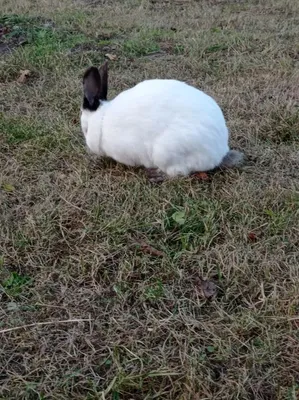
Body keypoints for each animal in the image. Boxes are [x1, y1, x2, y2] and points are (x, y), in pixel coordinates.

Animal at [80, 62, 244, 180]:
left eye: (85, 129)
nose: (89, 147)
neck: (101, 121)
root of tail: (219, 153)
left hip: (165, 152)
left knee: (179, 173)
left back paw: (155, 175)